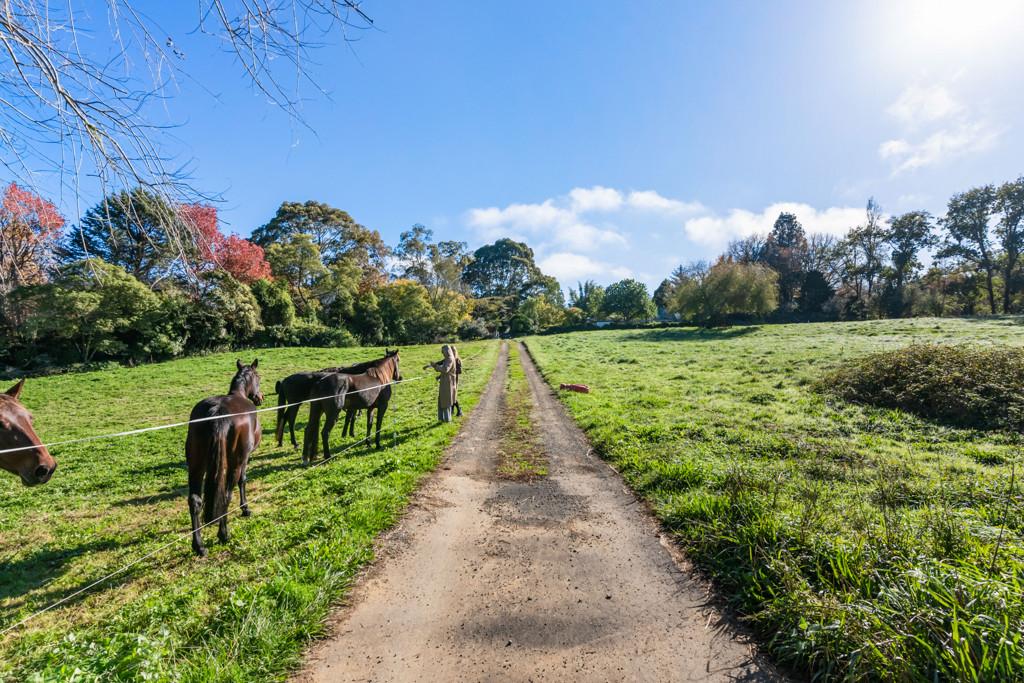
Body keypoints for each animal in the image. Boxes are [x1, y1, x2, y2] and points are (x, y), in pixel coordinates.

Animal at [185, 359, 264, 557]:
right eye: (258, 377)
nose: (260, 397)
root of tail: (217, 413)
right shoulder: (244, 459)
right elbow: (243, 481)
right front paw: (245, 509)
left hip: (196, 465)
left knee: (195, 500)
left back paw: (199, 545)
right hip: (235, 463)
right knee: (226, 495)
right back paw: (223, 534)